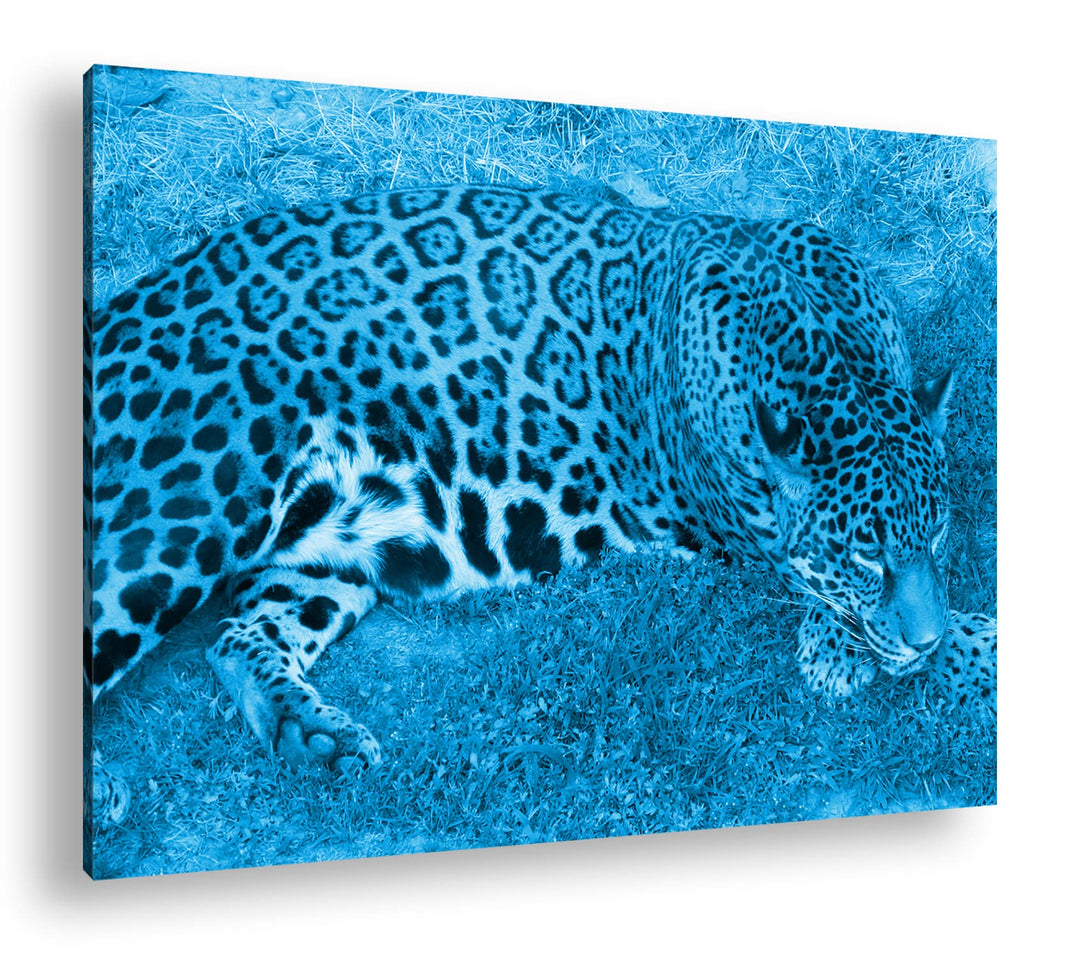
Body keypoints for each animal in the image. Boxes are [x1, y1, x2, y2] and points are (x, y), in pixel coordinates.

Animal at [84, 185, 996, 815]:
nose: (917, 640)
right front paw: (894, 648)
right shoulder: (747, 535)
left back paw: (313, 737)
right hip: (182, 511)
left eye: (937, 532)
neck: (825, 346)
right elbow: (915, 618)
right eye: (865, 552)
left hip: (329, 550)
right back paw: (103, 791)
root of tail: (114, 310)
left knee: (236, 635)